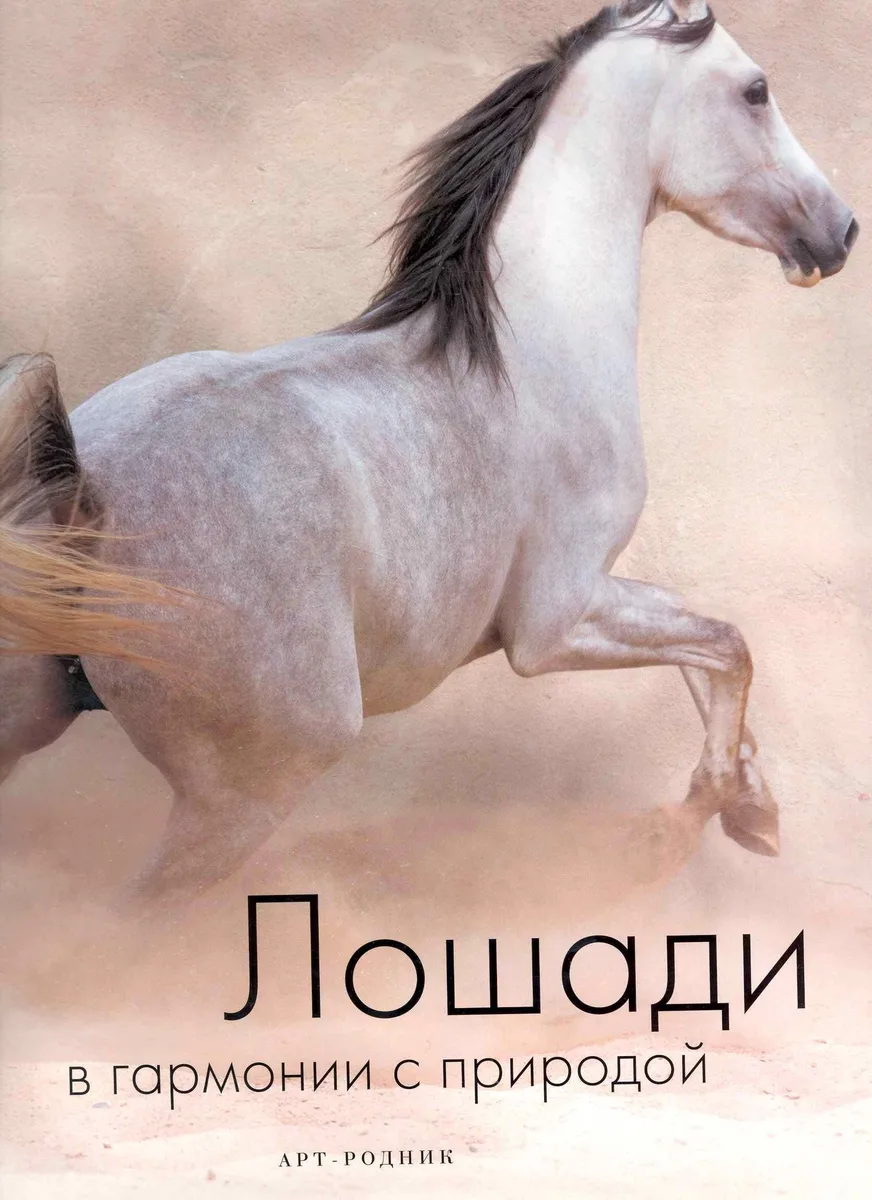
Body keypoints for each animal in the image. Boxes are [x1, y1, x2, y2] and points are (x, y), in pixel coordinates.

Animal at [0, 0, 858, 905]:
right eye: (756, 90)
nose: (839, 232)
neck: (531, 348)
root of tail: (88, 498)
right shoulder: (553, 624)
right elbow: (728, 643)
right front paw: (701, 815)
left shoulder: (596, 593)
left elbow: (708, 639)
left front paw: (753, 809)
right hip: (249, 789)